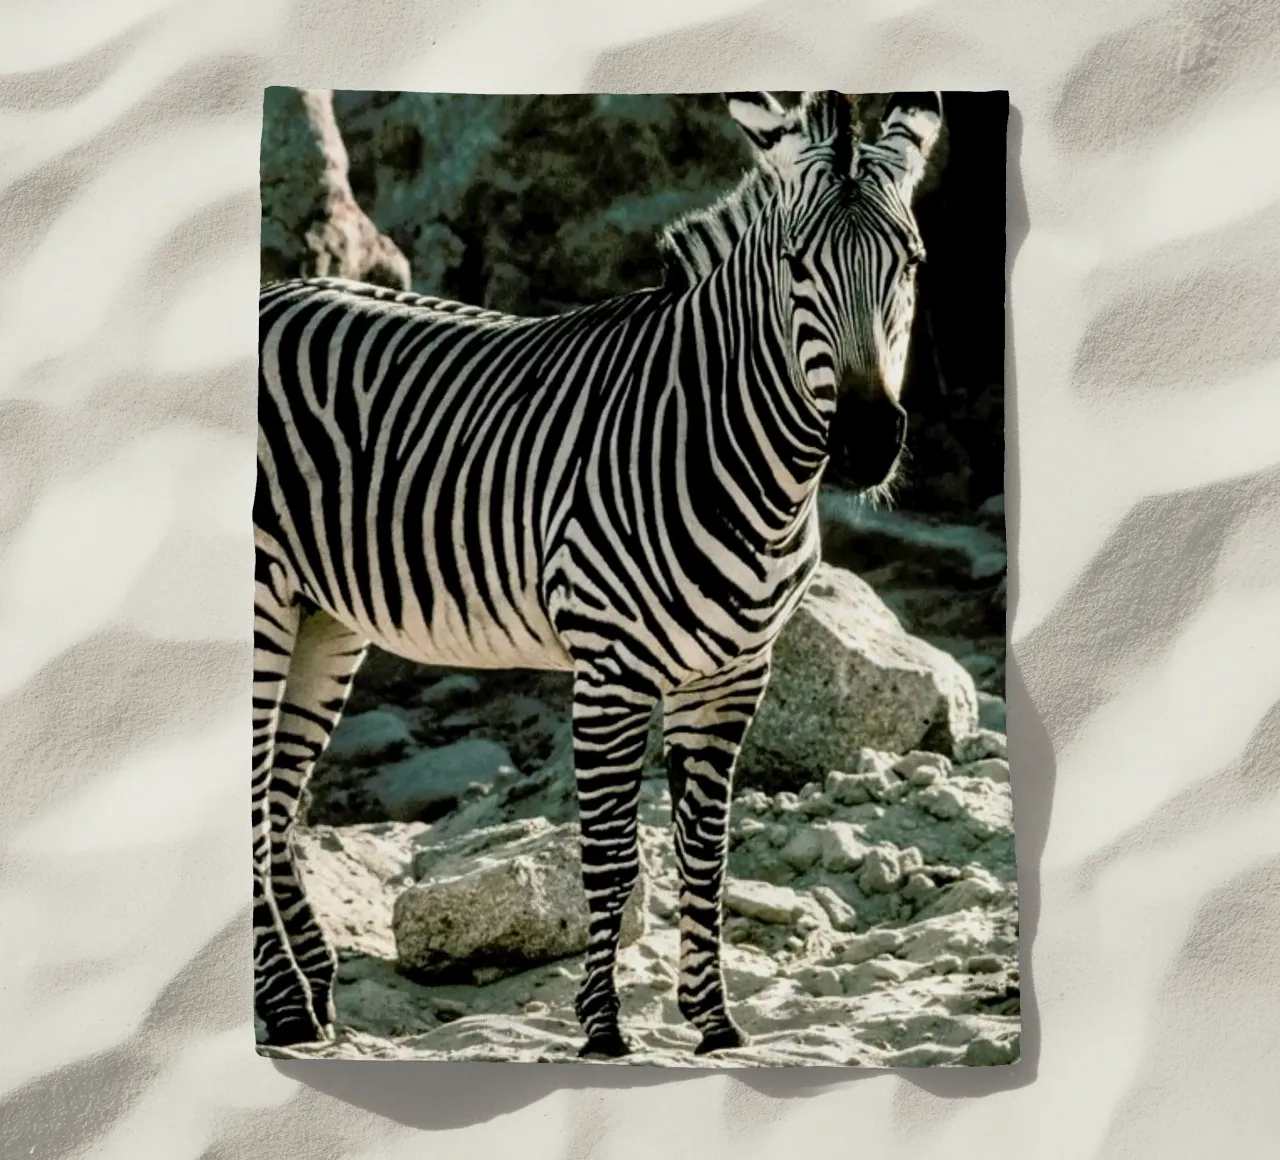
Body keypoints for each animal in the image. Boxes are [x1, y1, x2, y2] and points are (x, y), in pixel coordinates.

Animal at [254, 89, 942, 1057]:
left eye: (910, 263)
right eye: (794, 265)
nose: (867, 443)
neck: (737, 455)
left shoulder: (734, 675)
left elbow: (707, 854)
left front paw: (714, 1021)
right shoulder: (611, 670)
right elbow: (613, 860)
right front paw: (603, 1027)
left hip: (324, 616)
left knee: (276, 804)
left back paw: (307, 999)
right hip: (261, 599)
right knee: (250, 802)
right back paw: (284, 1003)